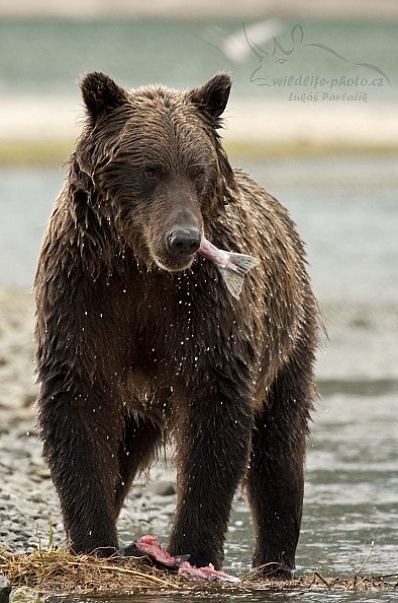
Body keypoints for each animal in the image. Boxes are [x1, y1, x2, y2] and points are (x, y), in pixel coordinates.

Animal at [35, 71, 320, 576]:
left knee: (279, 450)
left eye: (197, 170)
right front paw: (93, 542)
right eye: (150, 169)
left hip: (288, 336)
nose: (184, 239)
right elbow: (79, 412)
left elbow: (216, 420)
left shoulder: (206, 312)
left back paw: (274, 562)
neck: (139, 265)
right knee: (123, 451)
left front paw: (193, 548)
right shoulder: (83, 298)